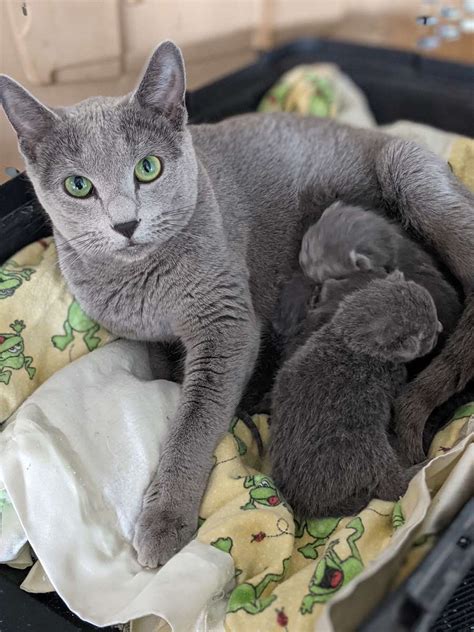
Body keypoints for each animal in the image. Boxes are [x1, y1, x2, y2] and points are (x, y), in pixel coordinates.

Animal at [270, 272, 440, 520]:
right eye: (428, 335)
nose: (440, 328)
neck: (347, 339)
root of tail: (307, 505)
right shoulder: (393, 378)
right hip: (364, 447)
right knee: (391, 486)